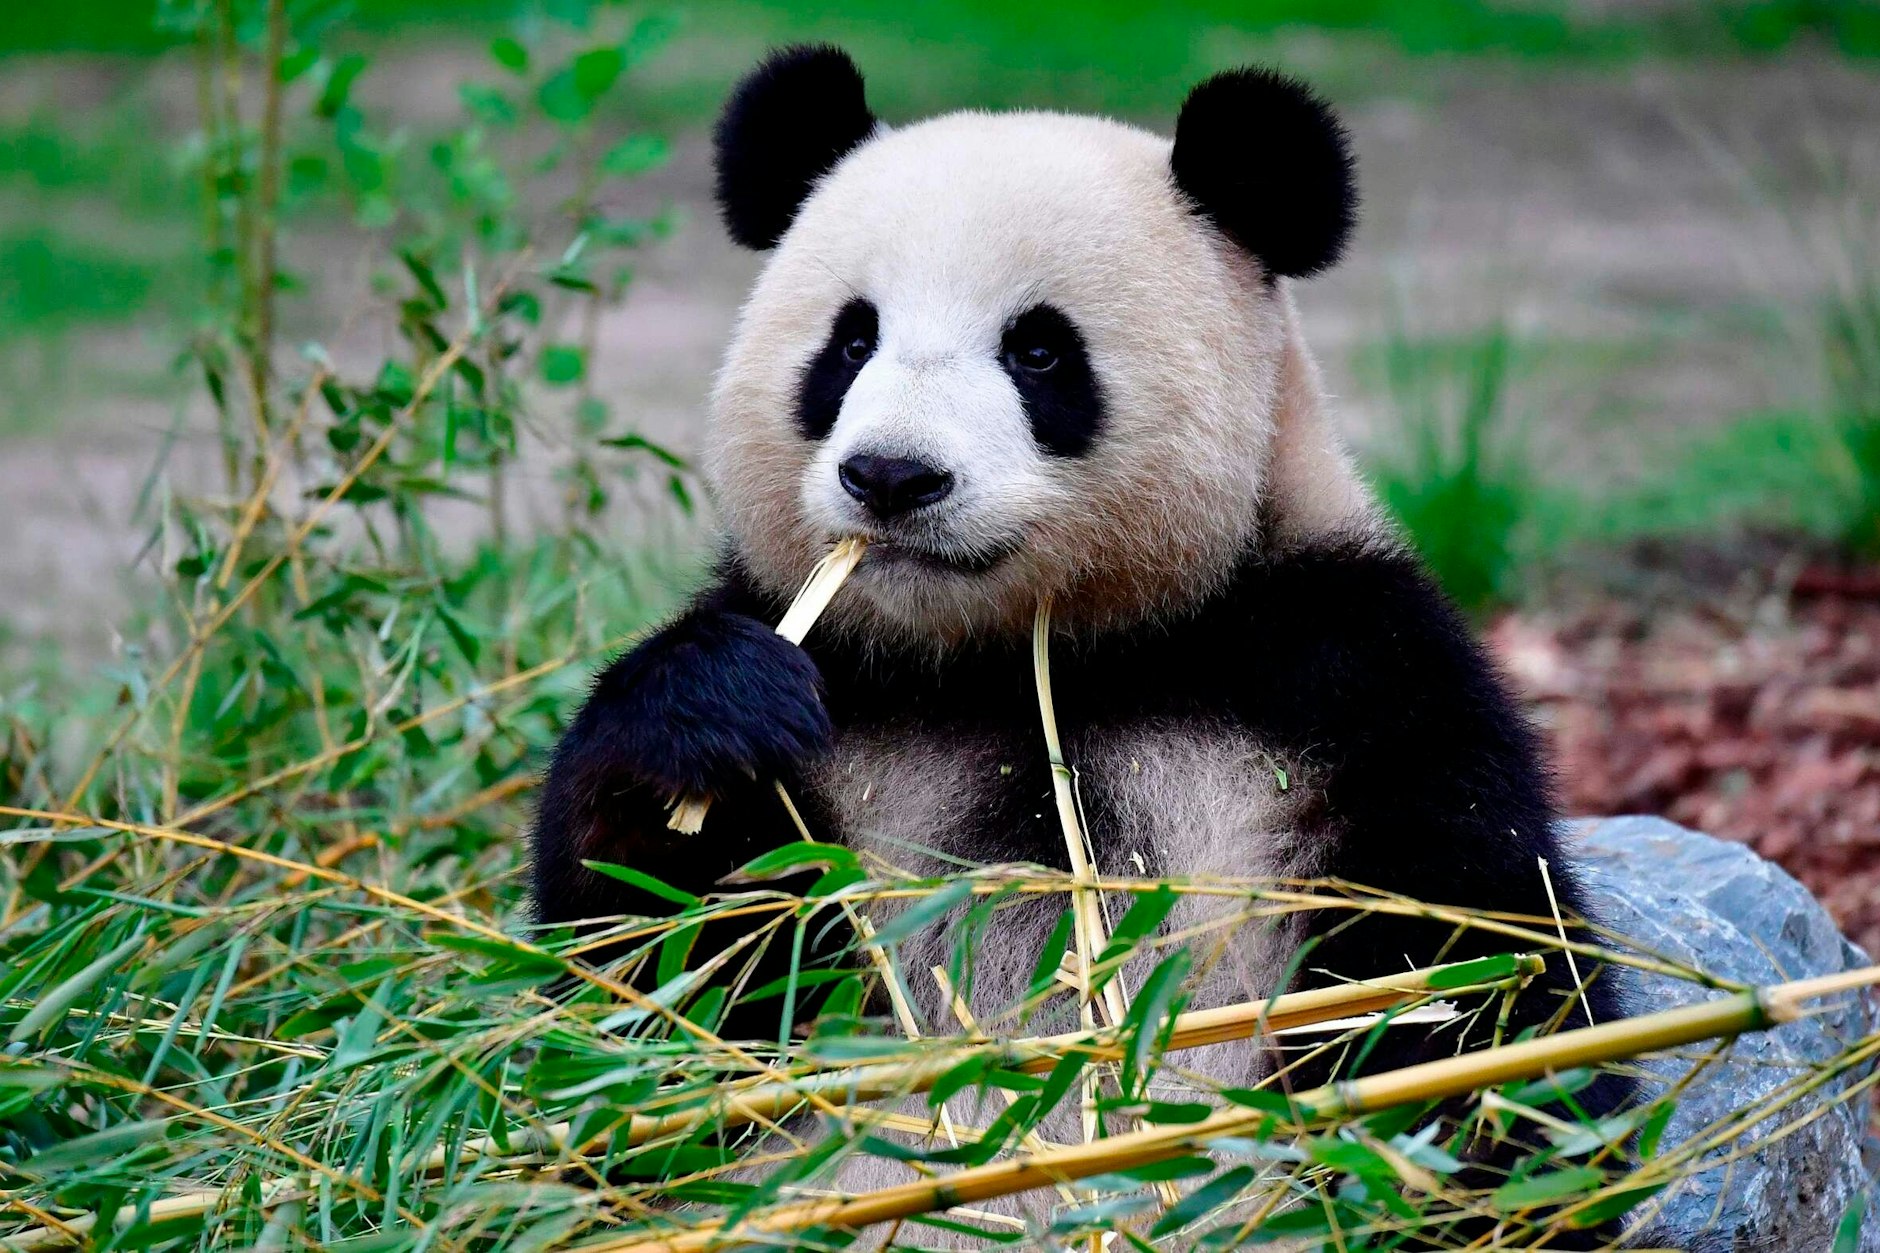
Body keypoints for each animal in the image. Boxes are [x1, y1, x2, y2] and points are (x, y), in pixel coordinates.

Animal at [531, 44, 1637, 1244]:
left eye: (1039, 350)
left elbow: (1466, 977)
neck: (1028, 655)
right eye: (850, 341)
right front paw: (708, 713)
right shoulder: (842, 700)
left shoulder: (1347, 675)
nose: (892, 476)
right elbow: (648, 1000)